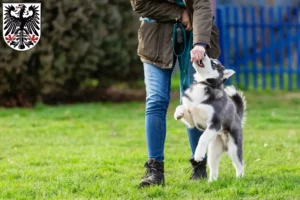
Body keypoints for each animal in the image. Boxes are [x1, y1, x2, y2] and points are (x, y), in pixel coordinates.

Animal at [173, 54, 246, 182]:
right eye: (212, 60)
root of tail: (237, 116)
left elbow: (202, 138)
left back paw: (239, 178)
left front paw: (198, 155)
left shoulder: (215, 123)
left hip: (234, 148)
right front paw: (179, 113)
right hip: (213, 152)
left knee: (240, 164)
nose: (203, 53)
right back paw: (212, 181)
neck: (203, 84)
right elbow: (182, 106)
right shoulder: (193, 121)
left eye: (214, 64)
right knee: (214, 168)